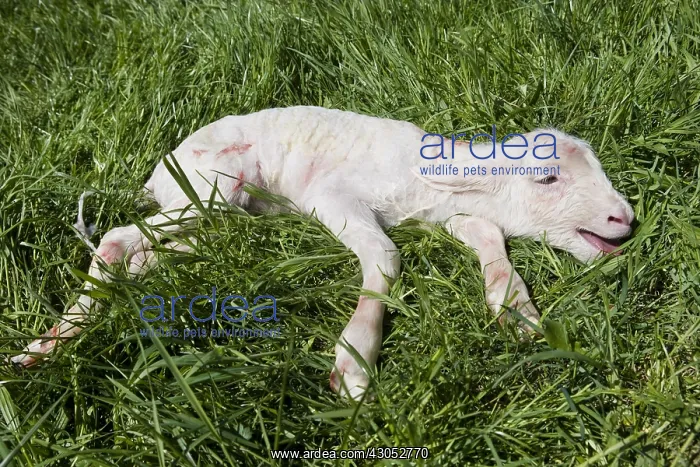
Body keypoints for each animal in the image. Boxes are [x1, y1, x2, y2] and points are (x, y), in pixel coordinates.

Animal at [9, 106, 634, 401]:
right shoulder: (333, 194)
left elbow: (488, 236)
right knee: (117, 236)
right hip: (214, 186)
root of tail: (158, 173)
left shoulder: (448, 213)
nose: (624, 219)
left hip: (216, 215)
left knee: (157, 252)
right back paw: (44, 349)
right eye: (548, 178)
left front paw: (518, 314)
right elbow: (384, 253)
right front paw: (354, 363)